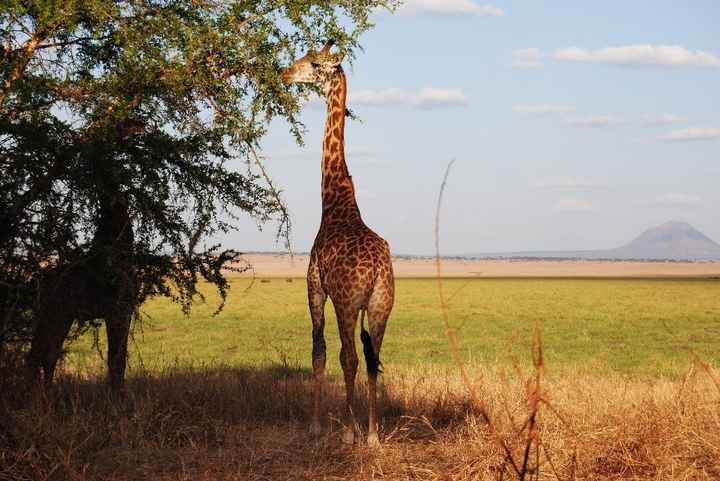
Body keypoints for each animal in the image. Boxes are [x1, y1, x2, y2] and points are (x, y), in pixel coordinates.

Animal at [282, 42, 395, 447]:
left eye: (314, 64)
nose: (285, 73)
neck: (334, 202)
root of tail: (376, 270)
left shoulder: (315, 286)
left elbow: (318, 352)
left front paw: (316, 425)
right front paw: (364, 431)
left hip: (348, 303)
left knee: (351, 356)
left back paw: (349, 431)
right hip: (381, 305)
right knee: (373, 358)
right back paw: (373, 434)